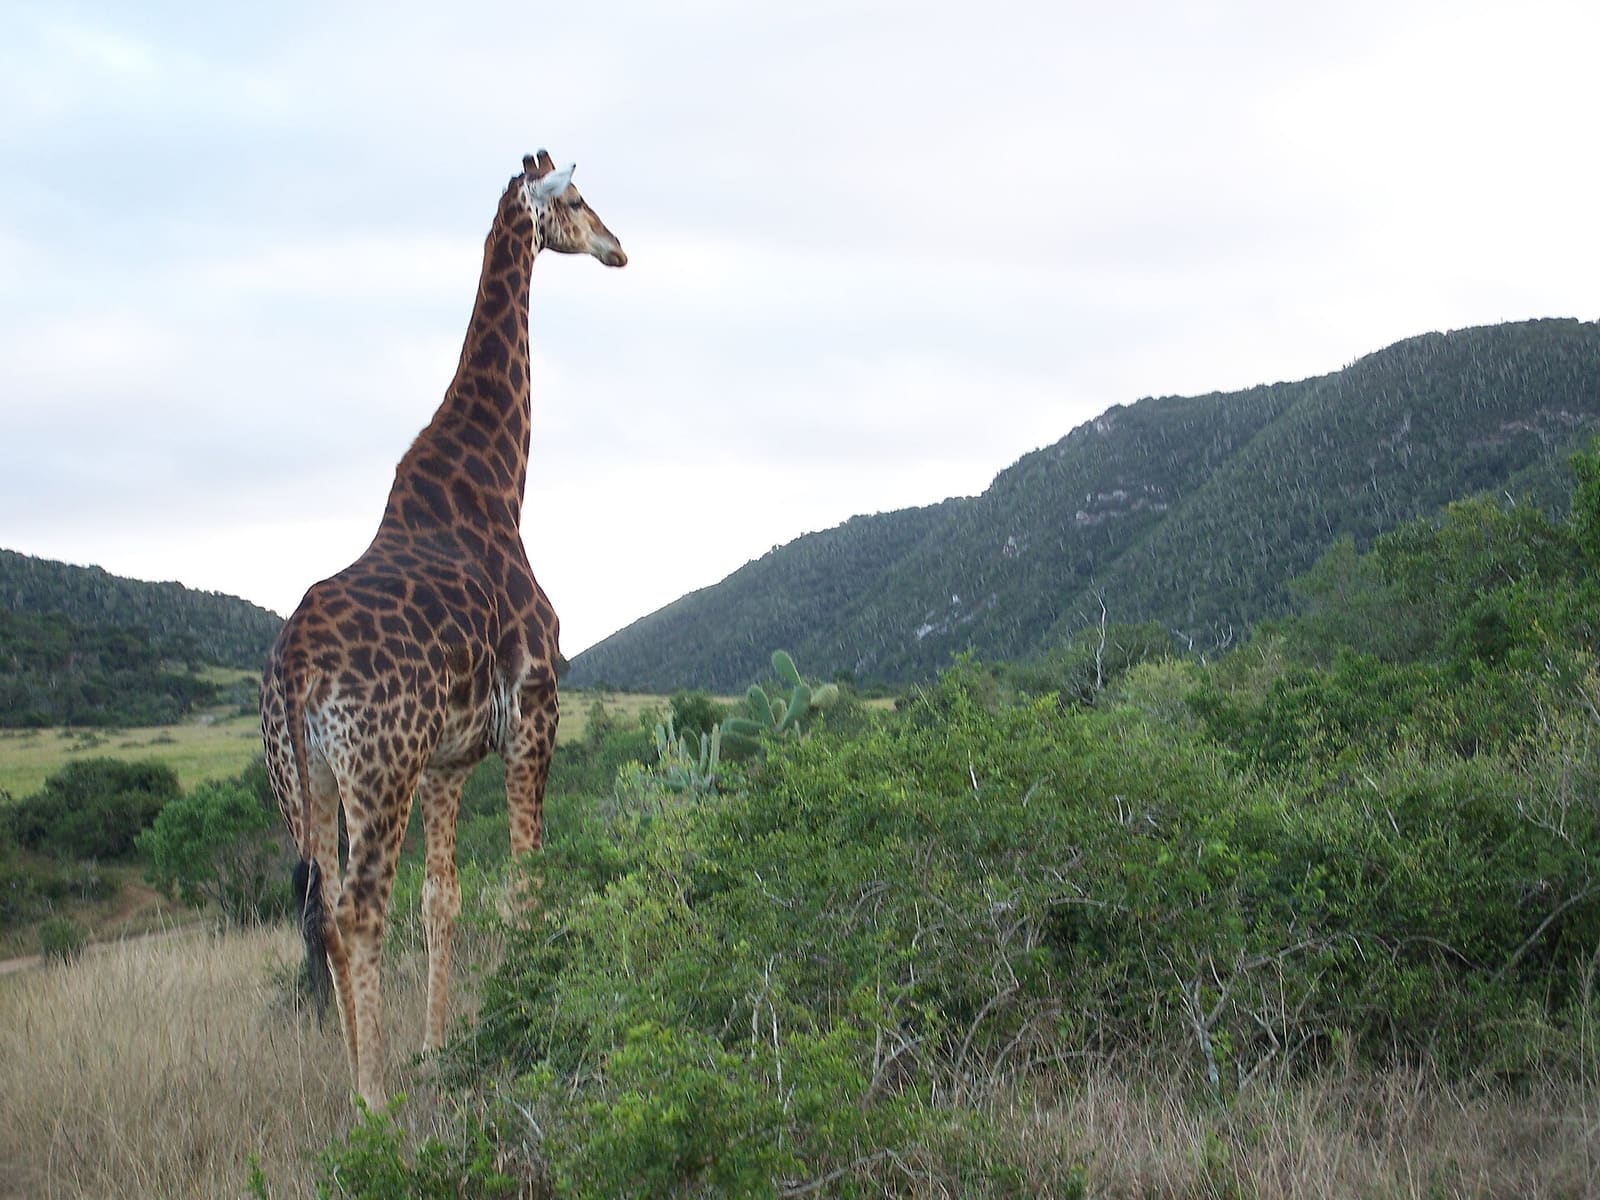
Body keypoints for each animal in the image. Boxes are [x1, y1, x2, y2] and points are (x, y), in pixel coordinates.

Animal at [260, 150, 626, 1106]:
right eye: (576, 199)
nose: (617, 248)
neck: (497, 484)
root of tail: (296, 666)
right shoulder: (534, 714)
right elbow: (526, 883)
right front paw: (530, 1018)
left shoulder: (448, 760)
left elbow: (445, 898)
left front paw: (436, 1048)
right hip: (375, 767)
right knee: (357, 911)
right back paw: (372, 1101)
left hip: (303, 781)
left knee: (318, 910)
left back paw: (365, 1083)